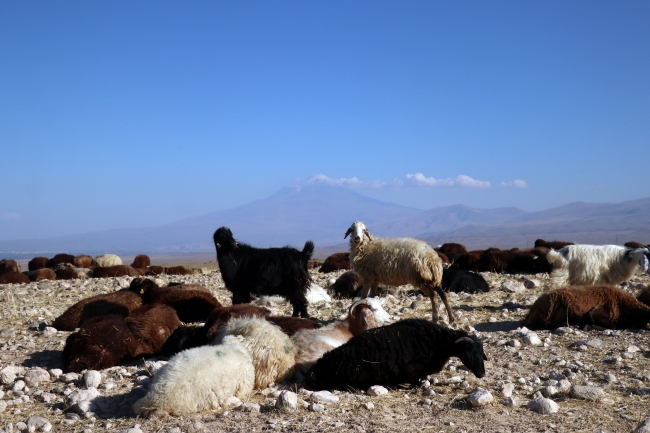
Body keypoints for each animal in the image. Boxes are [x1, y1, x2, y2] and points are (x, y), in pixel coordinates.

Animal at [306, 318, 484, 392]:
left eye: (482, 353)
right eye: (471, 351)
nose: (482, 374)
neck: (439, 342)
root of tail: (315, 371)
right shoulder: (411, 370)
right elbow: (415, 382)